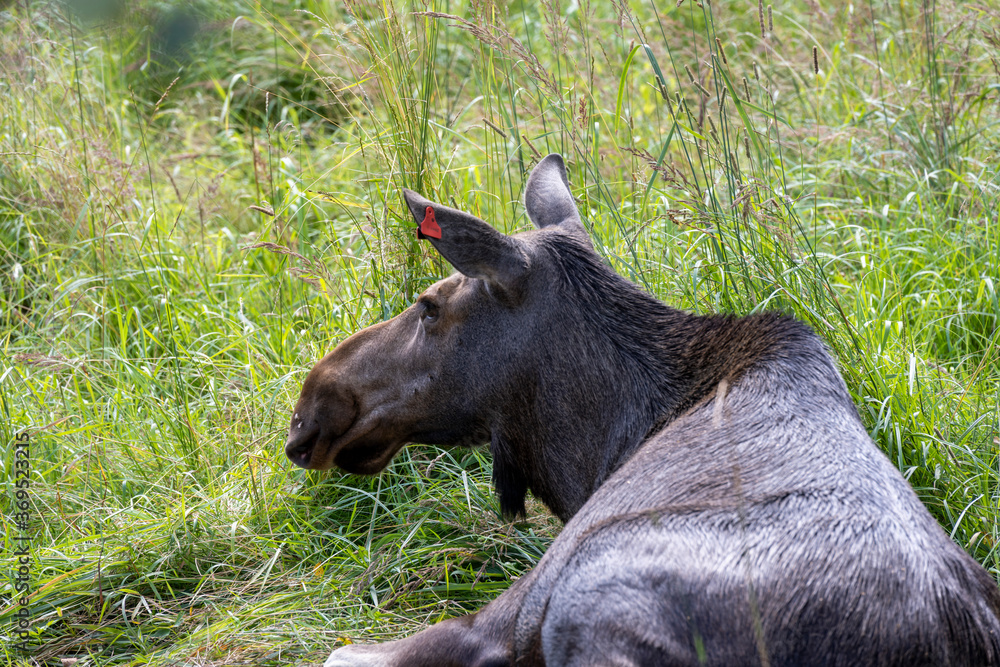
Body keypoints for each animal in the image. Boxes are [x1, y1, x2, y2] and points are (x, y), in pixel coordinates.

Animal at [284, 154, 1000, 666]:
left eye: (429, 306)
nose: (310, 406)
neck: (595, 449)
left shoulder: (514, 608)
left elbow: (345, 653)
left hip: (592, 609)